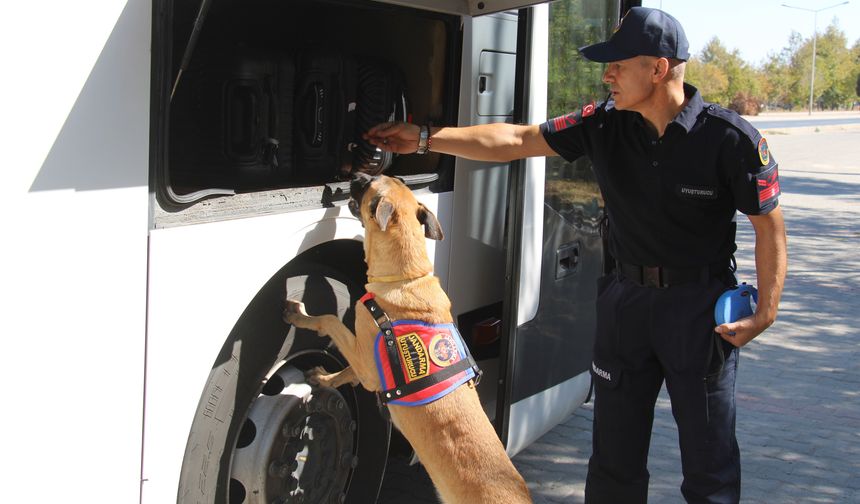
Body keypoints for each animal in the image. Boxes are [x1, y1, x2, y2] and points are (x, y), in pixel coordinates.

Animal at [286, 174, 532, 504]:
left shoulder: (365, 357)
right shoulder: (369, 365)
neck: (408, 277)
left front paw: (300, 315)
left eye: (370, 186)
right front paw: (325, 378)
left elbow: (328, 320)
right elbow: (348, 373)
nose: (357, 175)